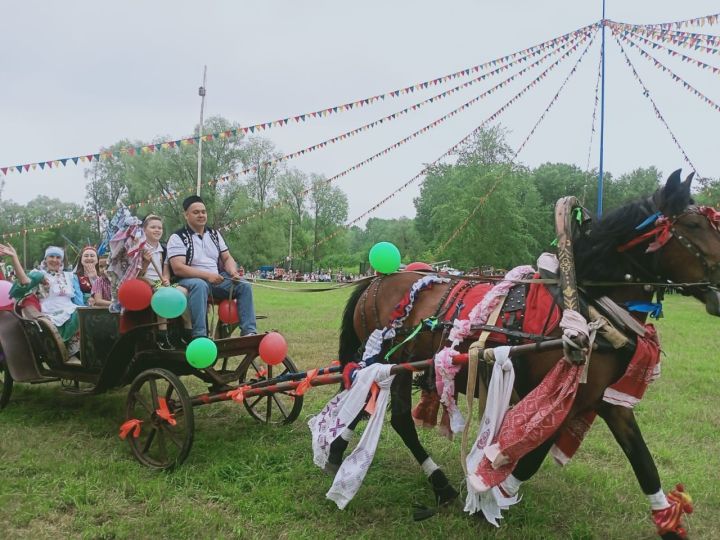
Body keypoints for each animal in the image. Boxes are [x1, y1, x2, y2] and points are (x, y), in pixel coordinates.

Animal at [332, 171, 720, 536]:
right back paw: (437, 483)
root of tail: (378, 279)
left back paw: (339, 450)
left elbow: (644, 463)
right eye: (693, 226)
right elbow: (532, 458)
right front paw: (491, 498)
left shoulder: (607, 401)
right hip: (392, 360)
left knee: (362, 397)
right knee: (397, 417)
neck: (585, 305)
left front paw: (668, 522)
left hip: (389, 363)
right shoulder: (560, 398)